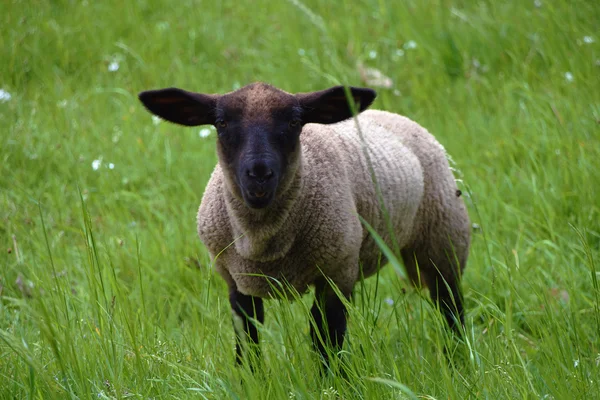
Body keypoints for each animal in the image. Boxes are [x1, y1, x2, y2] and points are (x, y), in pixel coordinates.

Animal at [138, 82, 472, 372]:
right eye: (221, 122)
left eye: (294, 121)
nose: (259, 175)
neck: (264, 242)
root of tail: (390, 114)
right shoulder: (236, 279)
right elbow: (247, 338)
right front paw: (251, 380)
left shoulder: (336, 273)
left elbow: (326, 337)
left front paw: (333, 382)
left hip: (445, 238)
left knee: (450, 308)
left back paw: (458, 364)